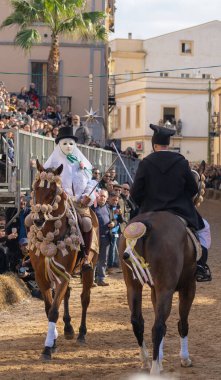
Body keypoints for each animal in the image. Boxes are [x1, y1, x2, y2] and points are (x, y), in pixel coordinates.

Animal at [28, 160, 97, 360]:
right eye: (36, 188)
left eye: (53, 192)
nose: (38, 220)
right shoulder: (41, 276)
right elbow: (49, 307)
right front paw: (54, 340)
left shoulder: (63, 274)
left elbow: (53, 310)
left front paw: (47, 348)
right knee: (68, 294)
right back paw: (68, 328)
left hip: (89, 268)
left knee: (84, 298)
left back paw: (81, 332)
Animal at [119, 162, 205, 376]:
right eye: (199, 180)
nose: (199, 197)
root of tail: (145, 224)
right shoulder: (188, 287)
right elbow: (182, 323)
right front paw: (184, 358)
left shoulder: (154, 290)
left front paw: (161, 356)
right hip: (167, 287)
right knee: (157, 325)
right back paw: (155, 369)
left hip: (133, 286)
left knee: (138, 321)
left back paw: (146, 361)